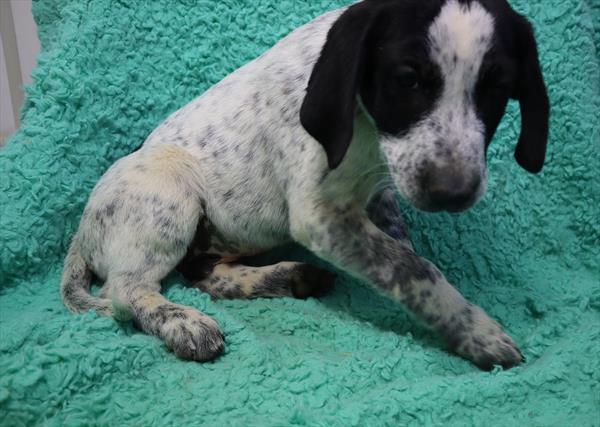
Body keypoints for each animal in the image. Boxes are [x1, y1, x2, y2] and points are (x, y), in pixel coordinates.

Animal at [61, 0, 548, 372]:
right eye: (406, 79)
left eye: (497, 88)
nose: (454, 193)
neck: (366, 130)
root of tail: (81, 233)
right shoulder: (320, 216)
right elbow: (413, 268)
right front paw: (474, 330)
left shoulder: (381, 192)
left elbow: (402, 251)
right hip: (169, 189)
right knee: (126, 291)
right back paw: (183, 322)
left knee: (206, 275)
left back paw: (291, 276)